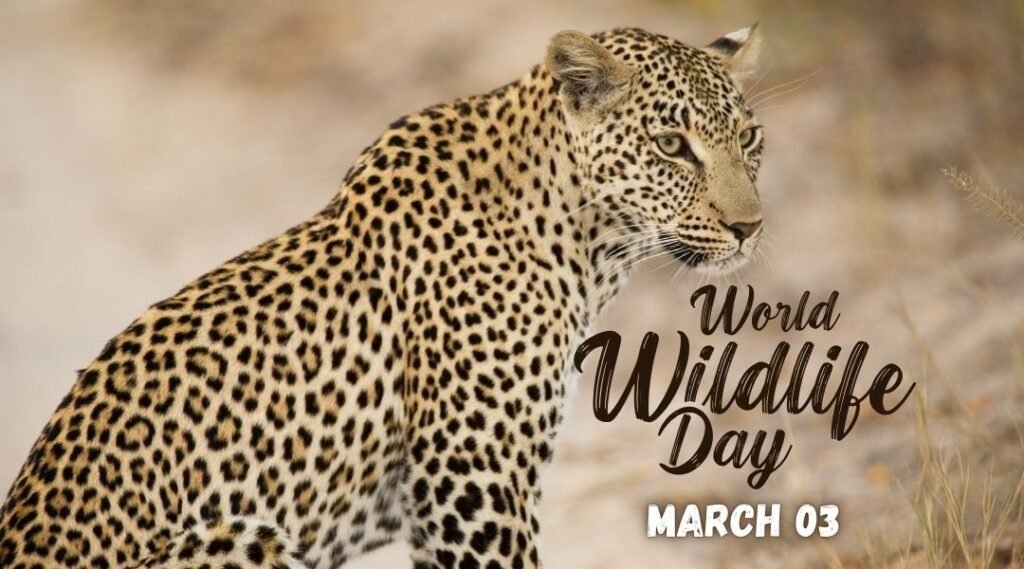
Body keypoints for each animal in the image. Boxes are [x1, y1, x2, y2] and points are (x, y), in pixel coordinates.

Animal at [0, 25, 766, 569]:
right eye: (671, 144)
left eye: (749, 138)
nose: (751, 226)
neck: (586, 245)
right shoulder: (474, 490)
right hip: (242, 536)